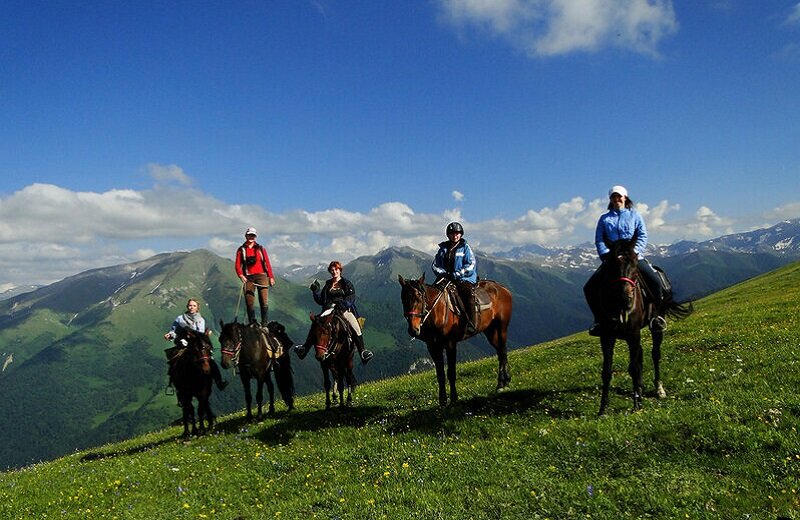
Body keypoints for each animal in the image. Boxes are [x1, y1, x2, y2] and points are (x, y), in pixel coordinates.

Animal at [398, 272, 512, 406]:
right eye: (403, 299)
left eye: (419, 297)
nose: (413, 329)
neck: (437, 312)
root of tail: (502, 288)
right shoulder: (433, 347)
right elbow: (440, 374)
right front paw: (442, 401)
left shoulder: (450, 344)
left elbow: (451, 372)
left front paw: (453, 399)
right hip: (490, 330)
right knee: (499, 352)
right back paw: (501, 383)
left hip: (501, 327)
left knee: (503, 351)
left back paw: (504, 383)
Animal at [596, 238, 692, 416]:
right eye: (611, 266)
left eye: (634, 264)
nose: (625, 298)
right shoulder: (607, 335)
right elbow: (607, 371)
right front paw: (603, 408)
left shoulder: (633, 333)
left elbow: (634, 367)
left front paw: (637, 405)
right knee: (640, 356)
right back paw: (639, 388)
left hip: (656, 325)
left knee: (655, 354)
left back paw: (658, 389)